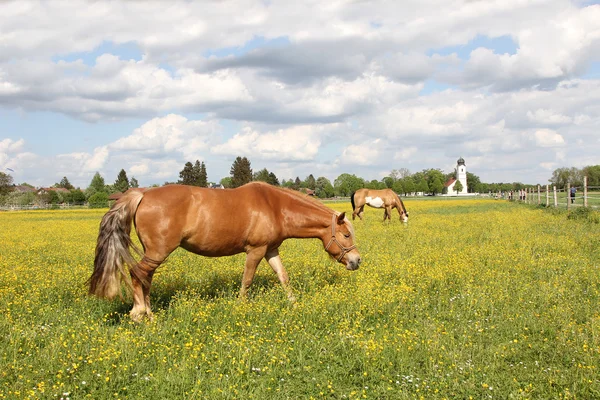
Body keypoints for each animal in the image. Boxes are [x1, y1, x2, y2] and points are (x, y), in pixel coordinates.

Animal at [89, 182, 360, 322]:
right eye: (347, 235)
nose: (356, 261)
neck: (274, 206)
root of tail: (142, 193)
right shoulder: (256, 251)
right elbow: (247, 281)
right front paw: (240, 307)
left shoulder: (271, 250)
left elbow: (284, 277)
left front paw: (294, 305)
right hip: (158, 252)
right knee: (137, 273)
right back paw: (139, 314)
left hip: (154, 253)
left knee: (145, 277)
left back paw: (150, 315)